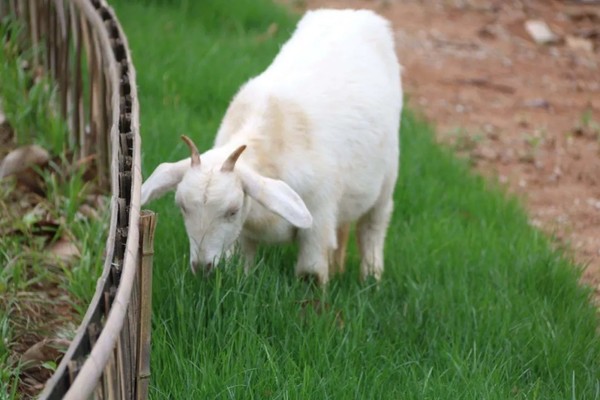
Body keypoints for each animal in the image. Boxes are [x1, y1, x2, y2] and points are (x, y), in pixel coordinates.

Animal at [141, 9, 404, 284]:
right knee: (343, 226)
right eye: (182, 207)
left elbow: (311, 274)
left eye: (232, 211)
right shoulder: (244, 234)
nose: (202, 267)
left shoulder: (318, 221)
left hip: (387, 179)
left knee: (372, 227)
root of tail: (351, 13)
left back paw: (372, 278)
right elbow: (241, 270)